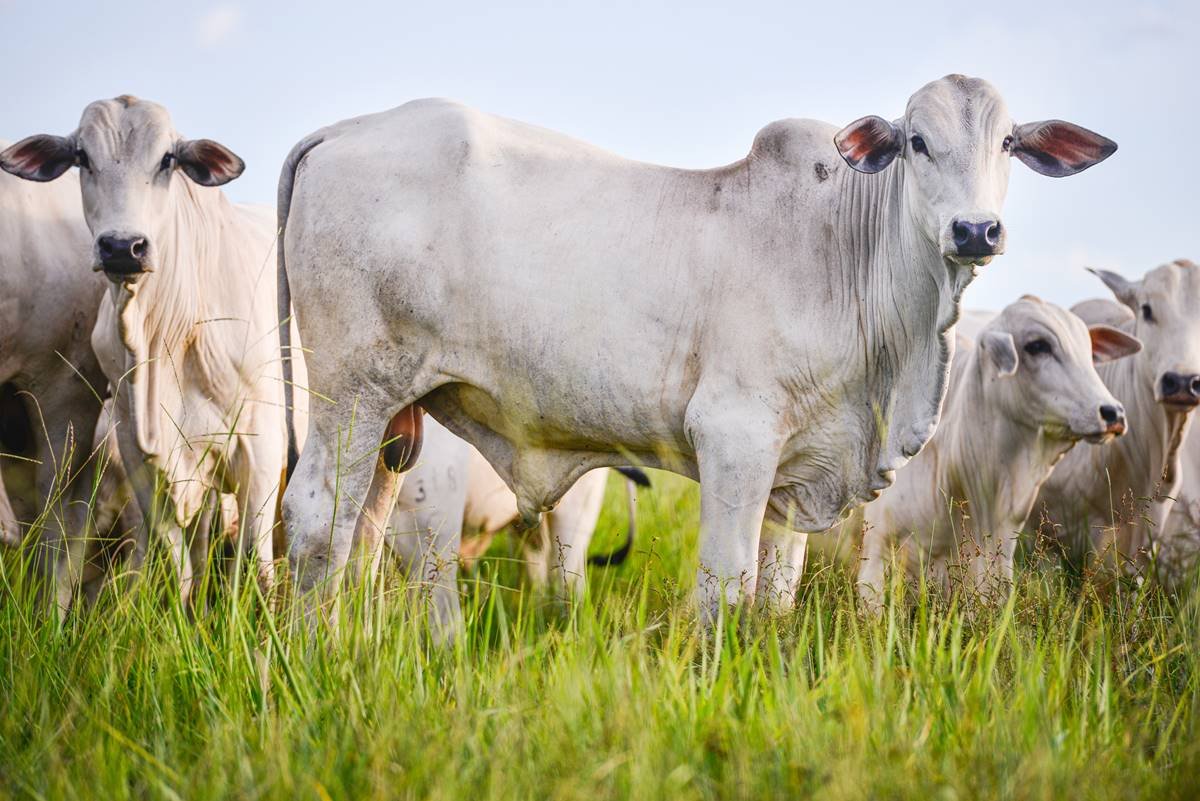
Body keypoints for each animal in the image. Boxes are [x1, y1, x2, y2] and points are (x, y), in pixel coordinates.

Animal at [2, 97, 309, 599]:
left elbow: (255, 567)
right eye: (82, 156)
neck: (170, 330)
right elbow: (178, 567)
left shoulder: (260, 446)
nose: (122, 247)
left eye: (168, 159)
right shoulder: (139, 451)